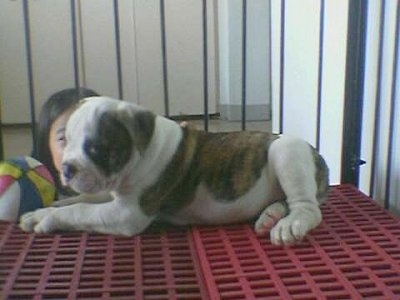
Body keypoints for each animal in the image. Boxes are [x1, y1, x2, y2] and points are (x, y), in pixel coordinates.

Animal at [19, 97, 328, 245]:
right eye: (64, 140)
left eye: (95, 149)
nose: (67, 168)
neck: (142, 150)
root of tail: (318, 156)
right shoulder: (112, 194)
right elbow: (84, 199)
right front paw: (46, 208)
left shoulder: (127, 214)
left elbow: (82, 211)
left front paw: (46, 219)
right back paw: (270, 215)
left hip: (286, 151)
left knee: (307, 207)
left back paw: (289, 224)